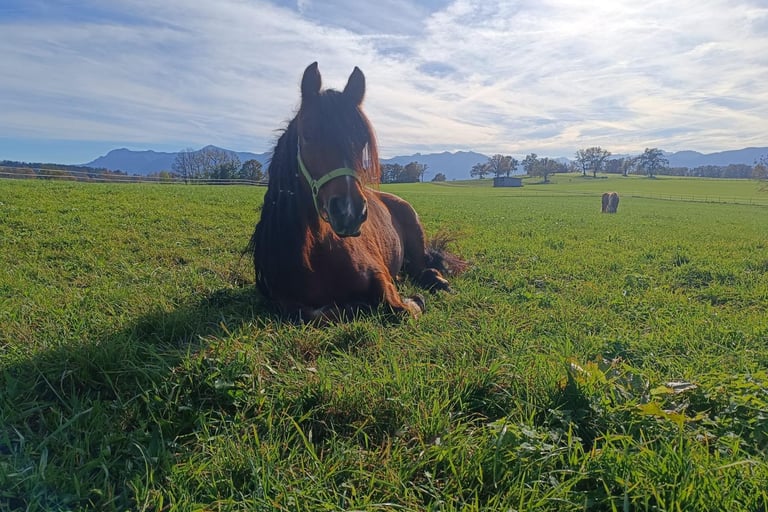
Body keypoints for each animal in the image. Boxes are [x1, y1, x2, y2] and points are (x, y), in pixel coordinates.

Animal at [248, 62, 466, 323]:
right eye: (307, 133)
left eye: (363, 140)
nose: (349, 212)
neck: (315, 253)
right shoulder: (287, 305)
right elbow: (317, 313)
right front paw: (354, 306)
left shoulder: (380, 276)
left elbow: (400, 308)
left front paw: (413, 300)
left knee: (425, 269)